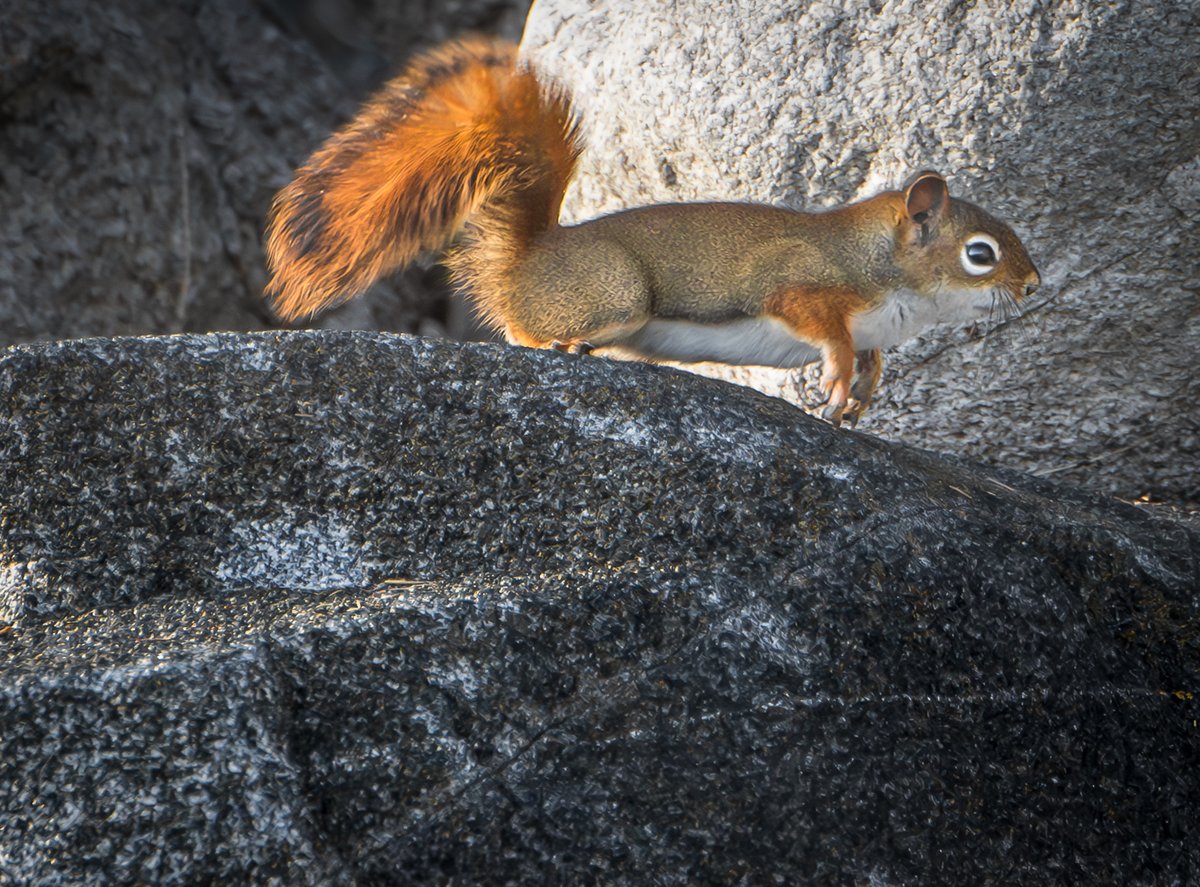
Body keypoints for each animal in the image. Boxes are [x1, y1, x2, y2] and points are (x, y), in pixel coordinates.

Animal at [267, 40, 1036, 427]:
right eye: (980, 254)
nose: (1032, 284)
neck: (883, 268)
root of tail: (524, 258)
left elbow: (874, 360)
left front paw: (862, 396)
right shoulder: (801, 281)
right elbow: (822, 326)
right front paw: (840, 374)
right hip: (614, 294)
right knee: (524, 330)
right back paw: (557, 343)